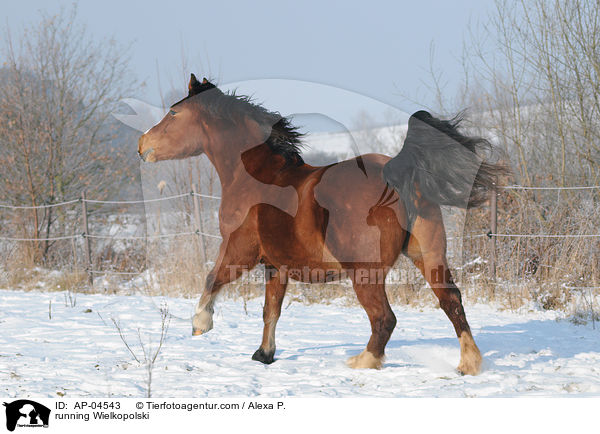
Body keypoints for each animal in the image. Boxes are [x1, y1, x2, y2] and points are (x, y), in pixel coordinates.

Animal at [137, 73, 506, 374]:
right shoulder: (276, 264)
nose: (142, 145)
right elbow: (271, 310)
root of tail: (396, 172)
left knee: (384, 318)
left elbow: (213, 277)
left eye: (173, 113)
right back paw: (468, 363)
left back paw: (363, 361)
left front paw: (201, 323)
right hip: (428, 255)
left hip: (365, 273)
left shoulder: (241, 249)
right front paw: (263, 354)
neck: (253, 177)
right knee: (452, 302)